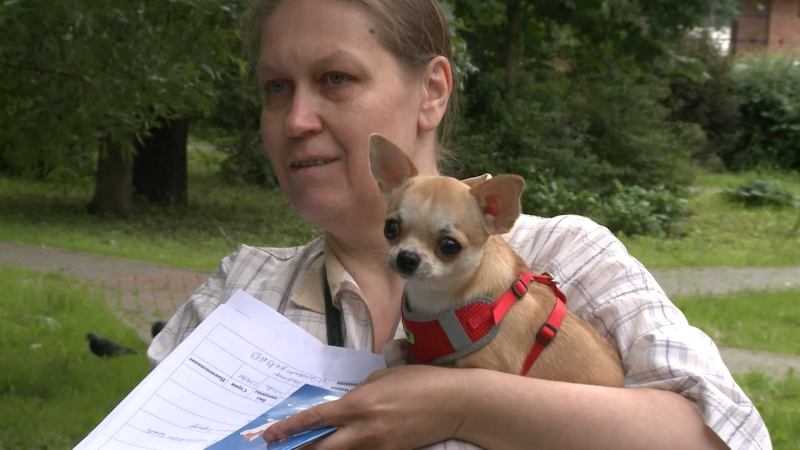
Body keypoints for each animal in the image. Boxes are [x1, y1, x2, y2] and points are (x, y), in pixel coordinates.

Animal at [367, 133, 625, 388]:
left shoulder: (483, 366)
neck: (436, 295)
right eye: (390, 228)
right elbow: (390, 348)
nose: (406, 258)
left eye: (449, 246)